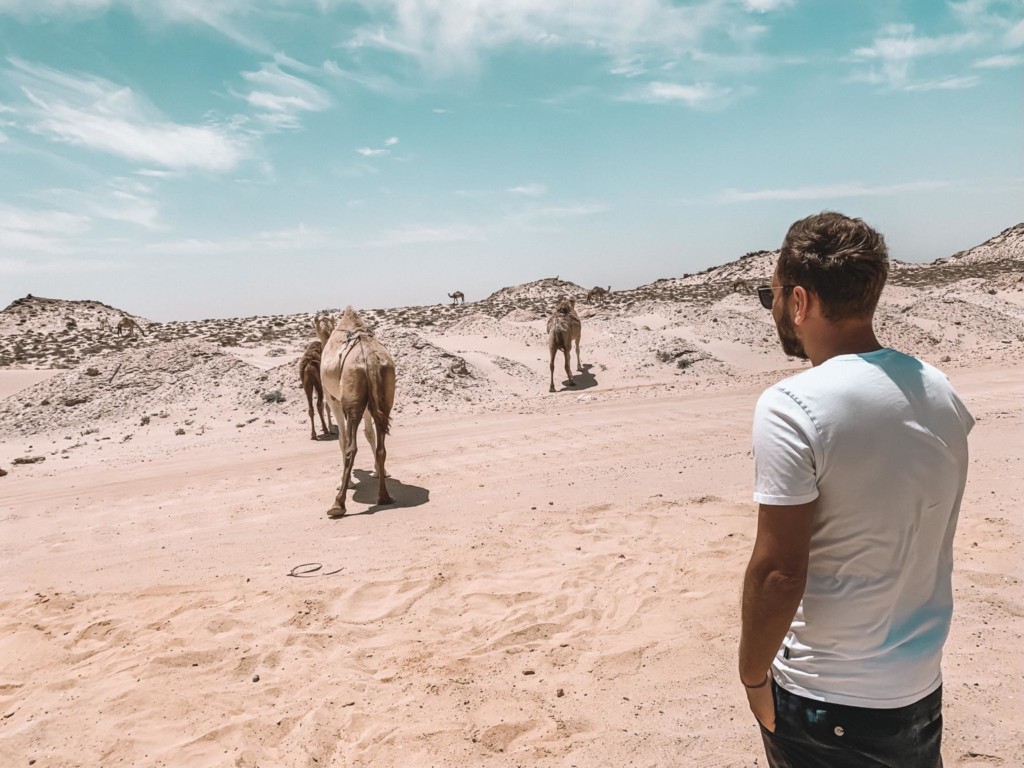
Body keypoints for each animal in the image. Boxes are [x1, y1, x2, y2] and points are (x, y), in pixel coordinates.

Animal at [311, 307, 395, 518]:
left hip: (352, 401)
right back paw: (383, 496)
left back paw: (338, 504)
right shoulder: (368, 405)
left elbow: (342, 439)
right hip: (384, 394)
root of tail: (370, 358)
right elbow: (369, 434)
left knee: (351, 446)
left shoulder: (334, 400)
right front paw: (377, 471)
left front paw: (347, 482)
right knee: (381, 445)